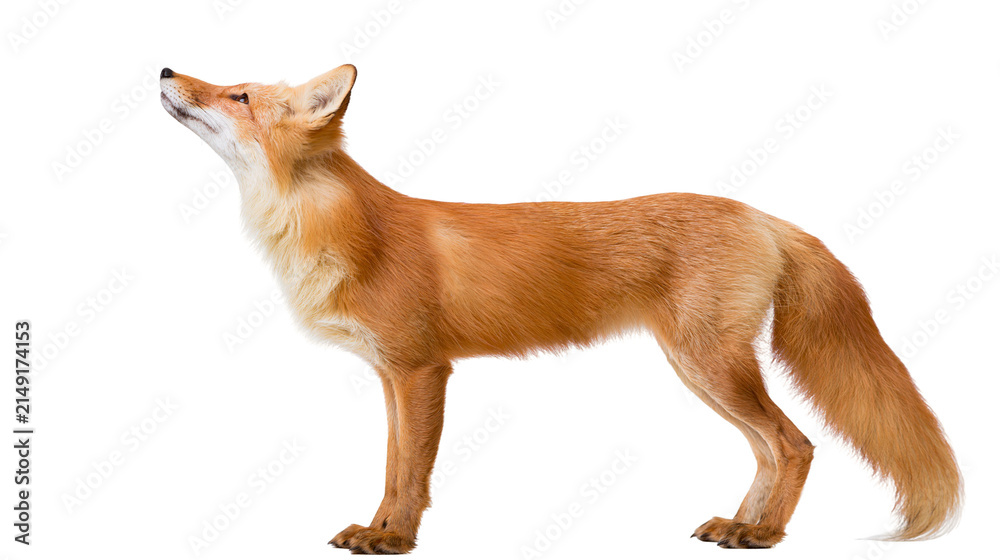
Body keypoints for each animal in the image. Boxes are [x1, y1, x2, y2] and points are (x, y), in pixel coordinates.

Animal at [160, 63, 962, 553]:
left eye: (238, 95)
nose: (166, 70)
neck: (346, 230)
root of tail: (758, 213)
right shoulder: (392, 375)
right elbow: (392, 469)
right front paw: (380, 529)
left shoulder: (423, 371)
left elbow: (411, 475)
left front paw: (395, 541)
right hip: (699, 369)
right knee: (769, 449)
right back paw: (742, 523)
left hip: (710, 365)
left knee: (794, 444)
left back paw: (763, 536)